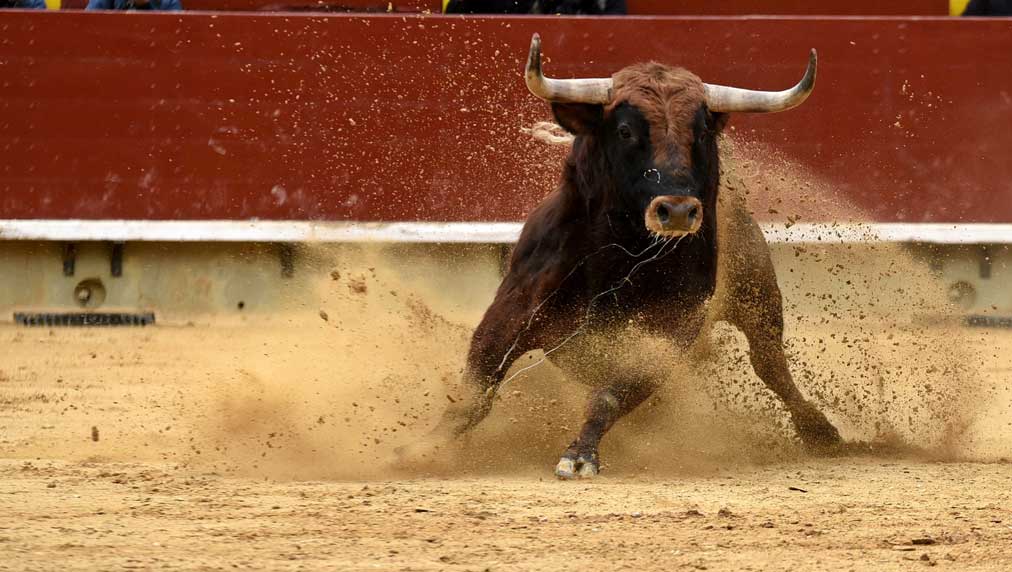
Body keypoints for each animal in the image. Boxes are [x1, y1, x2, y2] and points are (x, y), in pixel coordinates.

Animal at [400, 34, 842, 479]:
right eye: (626, 130)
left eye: (700, 133)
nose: (677, 210)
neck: (620, 253)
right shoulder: (515, 304)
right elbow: (477, 385)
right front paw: (424, 448)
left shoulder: (669, 331)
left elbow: (611, 394)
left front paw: (580, 455)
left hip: (757, 295)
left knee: (770, 363)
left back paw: (820, 431)